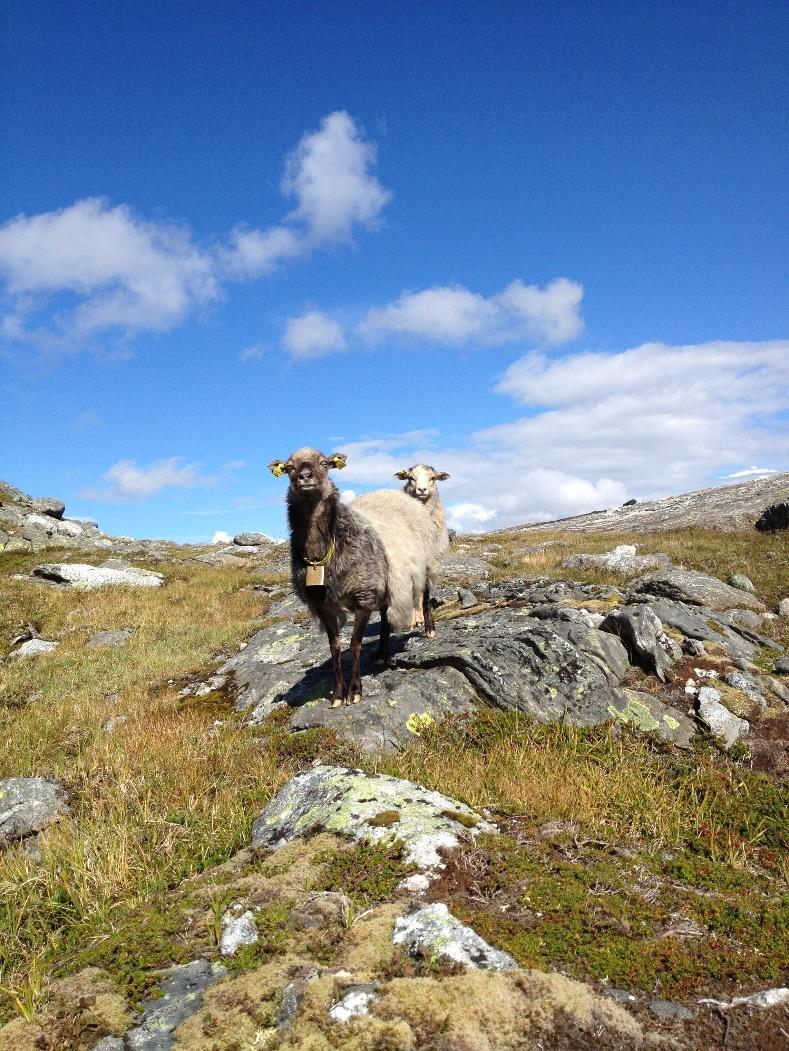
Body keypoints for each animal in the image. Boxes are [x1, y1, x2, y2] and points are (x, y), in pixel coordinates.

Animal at [271, 445, 432, 706]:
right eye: (288, 467)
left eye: (324, 463)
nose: (305, 476)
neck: (322, 553)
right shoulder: (324, 606)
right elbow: (335, 649)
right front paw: (338, 694)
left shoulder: (363, 597)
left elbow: (355, 645)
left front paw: (355, 690)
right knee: (385, 615)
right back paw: (381, 654)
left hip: (423, 563)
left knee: (425, 595)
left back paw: (429, 630)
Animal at [395, 466, 449, 630]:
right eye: (411, 478)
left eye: (433, 478)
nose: (422, 489)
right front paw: (413, 619)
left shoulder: (430, 562)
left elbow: (422, 593)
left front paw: (422, 621)